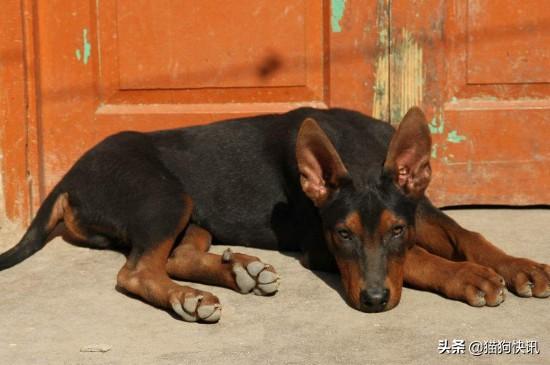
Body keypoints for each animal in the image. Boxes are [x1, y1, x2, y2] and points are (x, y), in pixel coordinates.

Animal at [1, 107, 550, 322]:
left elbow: (467, 234)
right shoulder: (318, 244)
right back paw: (190, 298)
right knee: (137, 271)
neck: (356, 152)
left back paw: (241, 270)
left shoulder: (419, 207)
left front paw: (520, 267)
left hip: (192, 215)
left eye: (395, 229)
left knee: (174, 257)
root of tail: (68, 177)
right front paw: (471, 278)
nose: (373, 302)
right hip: (164, 197)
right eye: (342, 235)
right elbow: (421, 259)